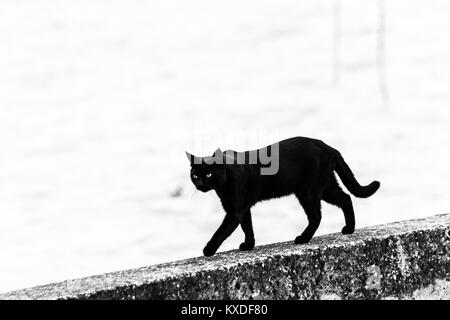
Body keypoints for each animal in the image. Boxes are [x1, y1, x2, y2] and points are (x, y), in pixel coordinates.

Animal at [186, 136, 380, 256]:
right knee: (346, 198)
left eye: (209, 174)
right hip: (326, 187)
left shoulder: (235, 211)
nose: (200, 183)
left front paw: (208, 250)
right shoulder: (243, 209)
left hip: (308, 192)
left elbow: (221, 231)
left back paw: (303, 238)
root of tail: (326, 146)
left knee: (316, 216)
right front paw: (249, 245)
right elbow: (247, 227)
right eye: (195, 175)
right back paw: (349, 229)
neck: (222, 187)